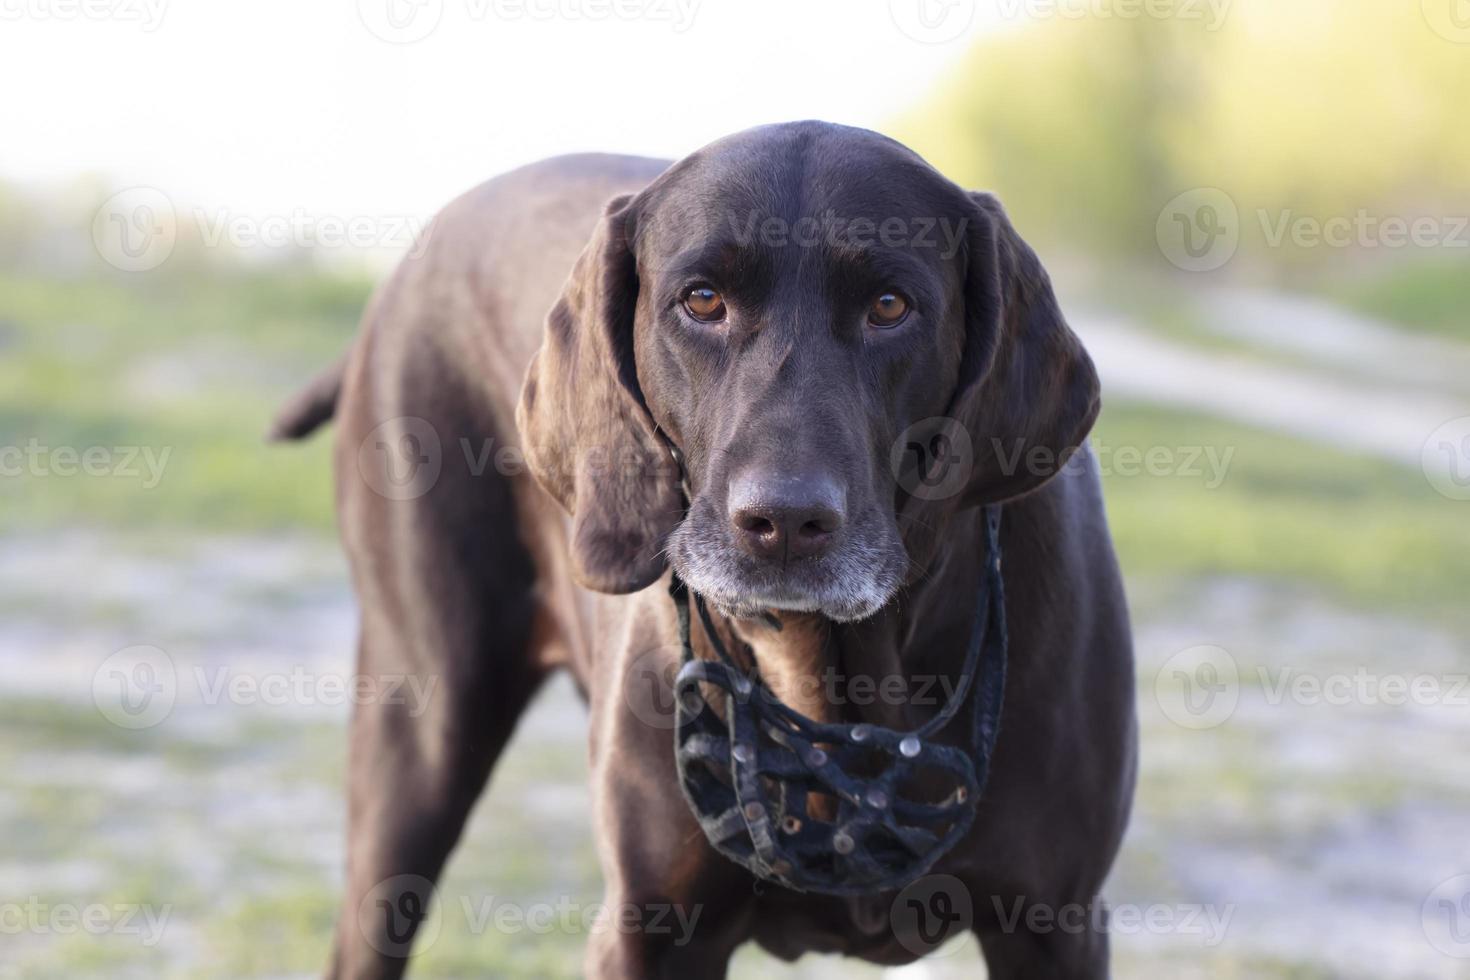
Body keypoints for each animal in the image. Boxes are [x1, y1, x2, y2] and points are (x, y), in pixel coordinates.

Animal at [273, 122, 1134, 980]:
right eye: (702, 301)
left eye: (890, 306)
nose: (783, 520)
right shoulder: (648, 931)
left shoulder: (1054, 926)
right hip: (418, 750)